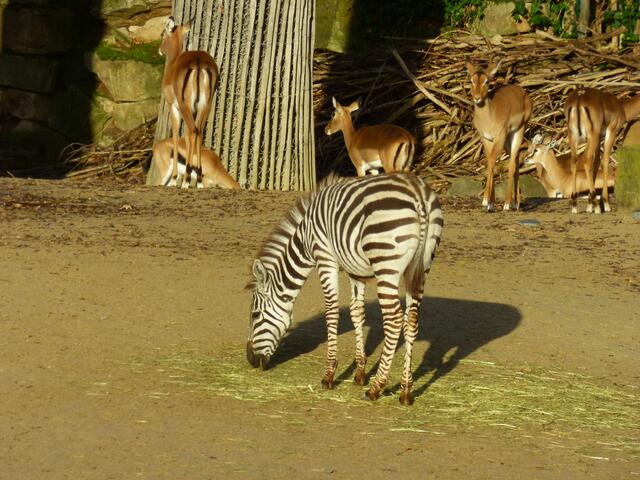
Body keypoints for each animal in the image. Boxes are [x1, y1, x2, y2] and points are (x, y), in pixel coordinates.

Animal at [246, 172, 443, 405]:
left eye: (255, 315)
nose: (250, 359)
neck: (305, 238)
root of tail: (418, 193)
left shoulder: (325, 258)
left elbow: (331, 311)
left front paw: (330, 374)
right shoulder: (355, 271)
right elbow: (357, 313)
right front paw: (359, 373)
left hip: (386, 267)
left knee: (394, 320)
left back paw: (376, 388)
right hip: (421, 268)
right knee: (411, 320)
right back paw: (405, 391)